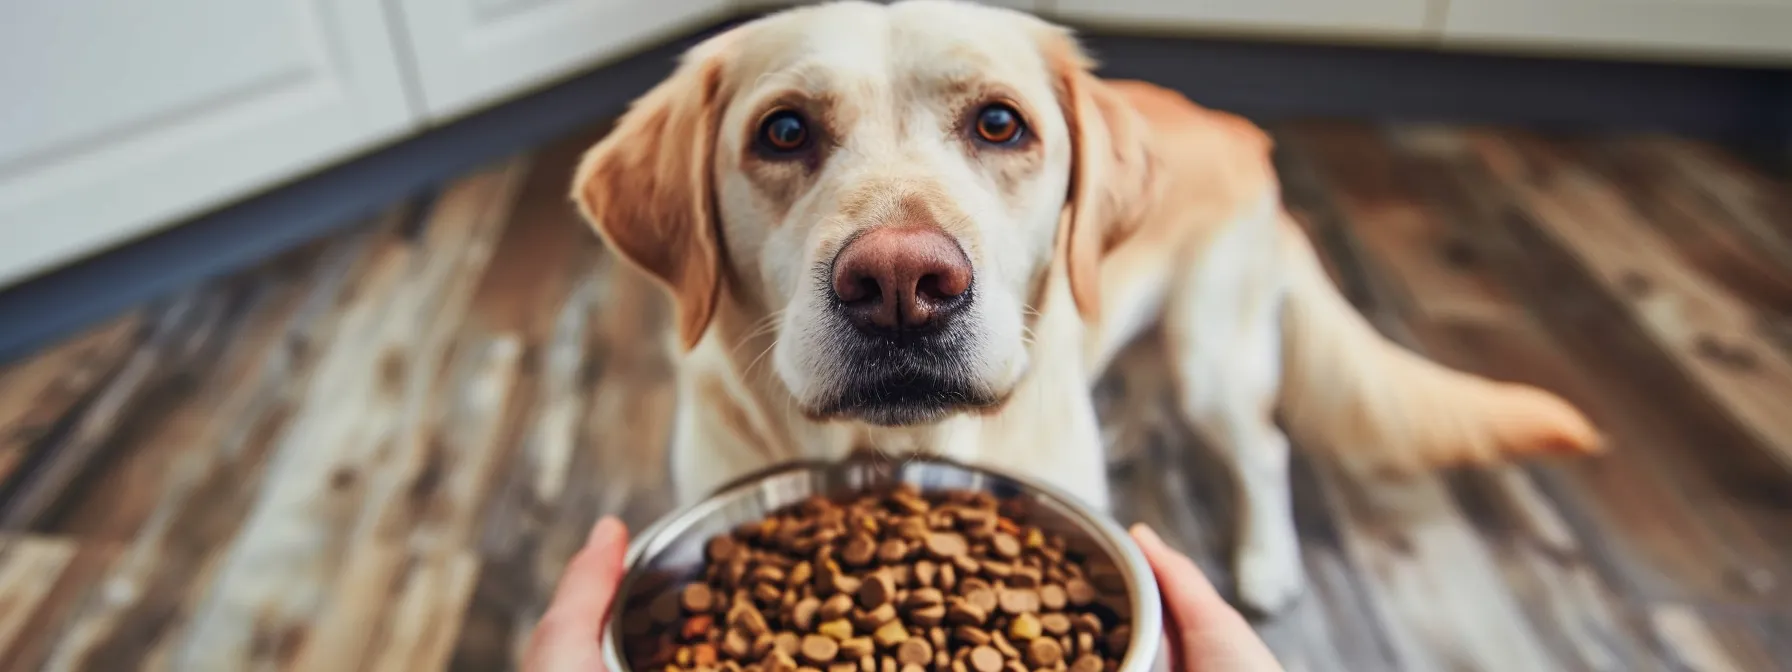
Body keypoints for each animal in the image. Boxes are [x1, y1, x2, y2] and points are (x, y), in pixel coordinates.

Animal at [569, 0, 1598, 616]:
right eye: (783, 131)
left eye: (999, 123)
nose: (902, 287)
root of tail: (1239, 130)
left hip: (1212, 355)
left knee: (1263, 447)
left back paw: (1267, 561)